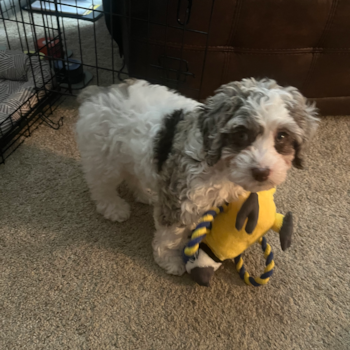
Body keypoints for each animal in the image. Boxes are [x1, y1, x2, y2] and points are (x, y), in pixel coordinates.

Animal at [76, 78, 320, 276]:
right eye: (241, 134)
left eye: (282, 136)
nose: (261, 172)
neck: (221, 167)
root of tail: (99, 92)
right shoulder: (181, 197)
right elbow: (171, 235)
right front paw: (170, 260)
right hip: (103, 157)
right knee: (101, 185)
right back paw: (114, 207)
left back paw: (145, 194)